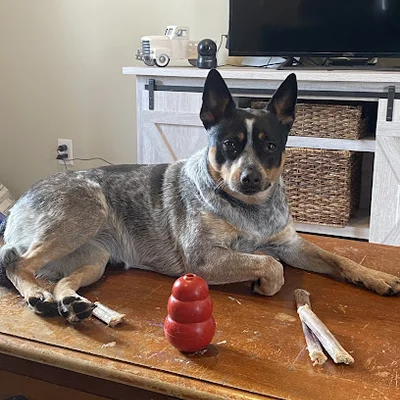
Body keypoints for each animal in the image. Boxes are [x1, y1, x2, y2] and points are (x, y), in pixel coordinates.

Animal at [1, 69, 399, 323]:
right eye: (229, 144)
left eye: (270, 145)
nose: (250, 177)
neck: (250, 210)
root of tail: (19, 203)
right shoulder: (204, 258)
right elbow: (271, 266)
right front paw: (263, 280)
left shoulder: (289, 243)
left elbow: (339, 259)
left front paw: (378, 277)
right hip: (87, 210)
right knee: (15, 262)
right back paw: (37, 296)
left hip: (95, 258)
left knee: (60, 281)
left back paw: (71, 303)